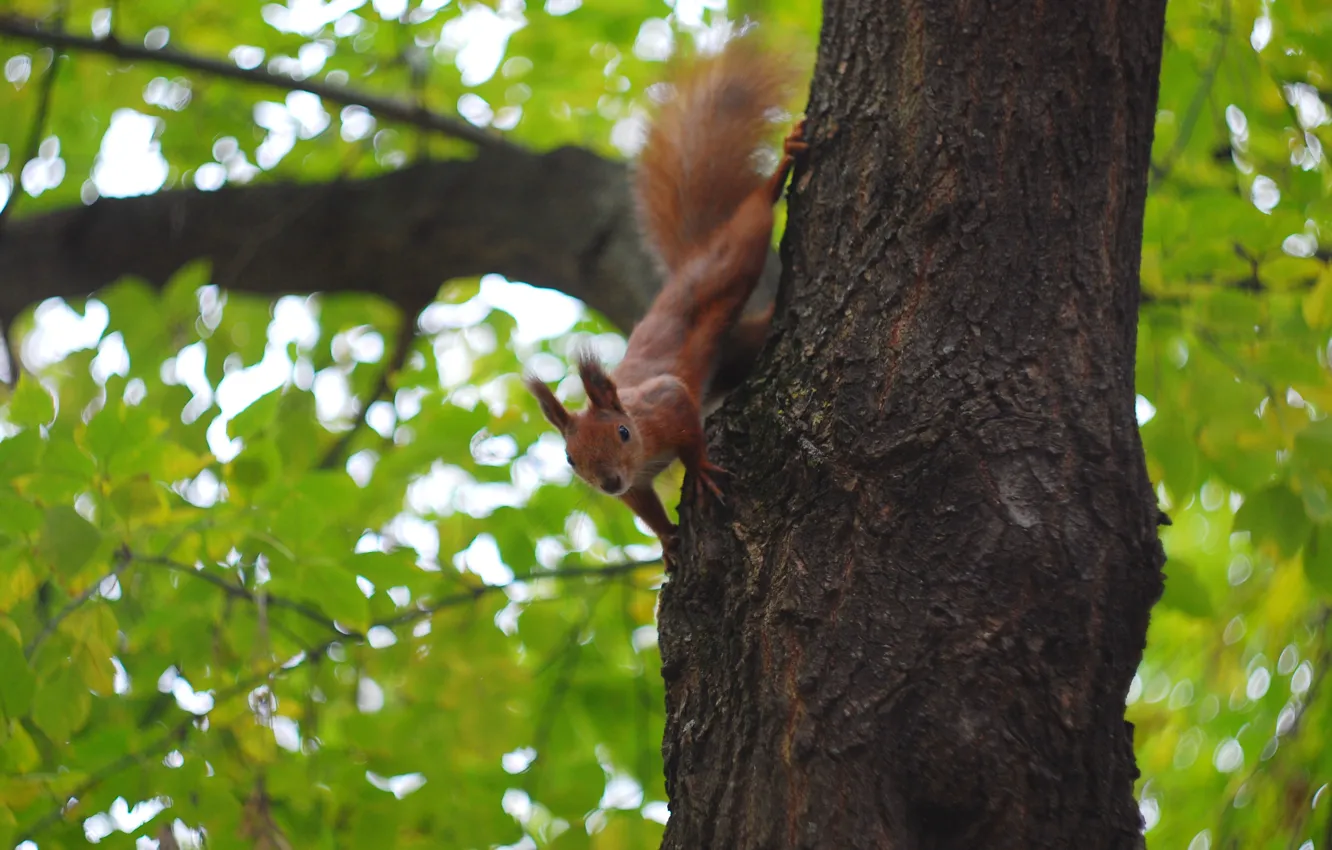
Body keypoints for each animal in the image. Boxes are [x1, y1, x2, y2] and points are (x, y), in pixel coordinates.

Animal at [524, 37, 806, 569]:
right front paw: (667, 540)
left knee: (754, 217)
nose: (608, 482)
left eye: (622, 433)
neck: (641, 443)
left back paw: (782, 166)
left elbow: (688, 428)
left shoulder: (666, 403)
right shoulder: (635, 485)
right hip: (736, 351)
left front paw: (700, 470)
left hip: (731, 260)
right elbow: (645, 508)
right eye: (570, 458)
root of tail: (687, 264)